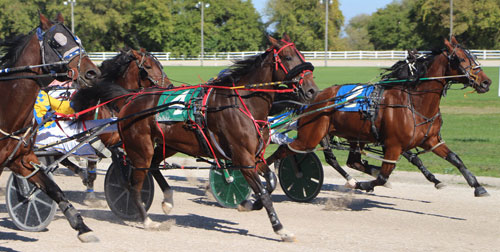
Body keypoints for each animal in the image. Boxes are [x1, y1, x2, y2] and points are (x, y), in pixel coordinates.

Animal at [0, 12, 101, 241]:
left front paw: (82, 226)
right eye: (57, 42)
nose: (92, 73)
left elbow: (54, 189)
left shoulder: (21, 158)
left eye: (77, 39)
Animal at [58, 47, 172, 205]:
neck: (110, 103)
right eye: (148, 66)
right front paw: (91, 195)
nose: (170, 86)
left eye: (160, 65)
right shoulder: (94, 142)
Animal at [86, 34, 318, 241]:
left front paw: (246, 204)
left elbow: (270, 183)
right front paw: (281, 229)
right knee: (135, 185)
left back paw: (168, 200)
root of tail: (130, 100)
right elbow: (264, 193)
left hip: (168, 144)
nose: (312, 90)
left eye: (300, 54)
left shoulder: (255, 157)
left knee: (153, 166)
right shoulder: (243, 158)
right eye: (287, 57)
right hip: (141, 148)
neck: (243, 104)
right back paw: (146, 220)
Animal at [268, 36, 490, 197]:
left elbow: (455, 159)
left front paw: (477, 186)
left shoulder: (431, 140)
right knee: (293, 151)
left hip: (352, 136)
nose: (486, 82)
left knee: (350, 161)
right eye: (461, 59)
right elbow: (385, 175)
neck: (414, 103)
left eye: (473, 56)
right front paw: (364, 184)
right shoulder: (393, 144)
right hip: (312, 135)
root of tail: (313, 99)